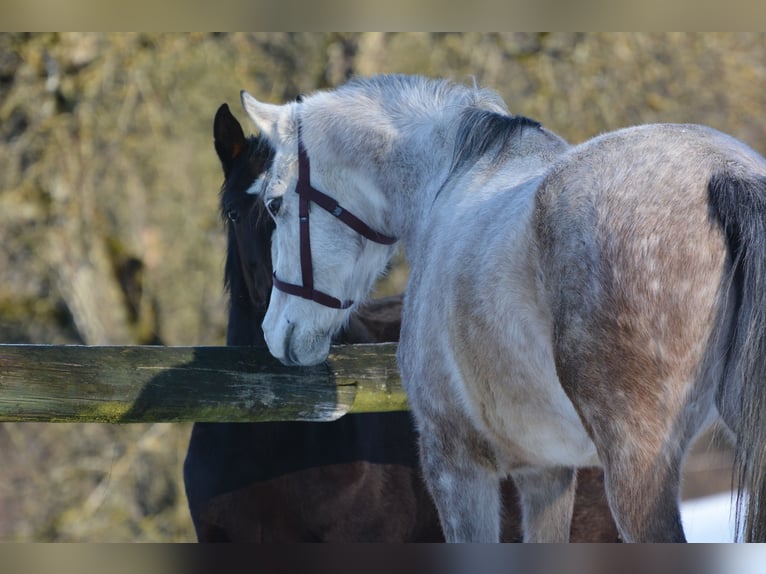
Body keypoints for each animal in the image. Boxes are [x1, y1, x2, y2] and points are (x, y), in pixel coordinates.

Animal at [240, 74, 766, 543]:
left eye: (274, 204)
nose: (275, 331)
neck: (449, 181)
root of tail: (723, 172)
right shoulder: (547, 471)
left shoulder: (454, 463)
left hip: (636, 466)